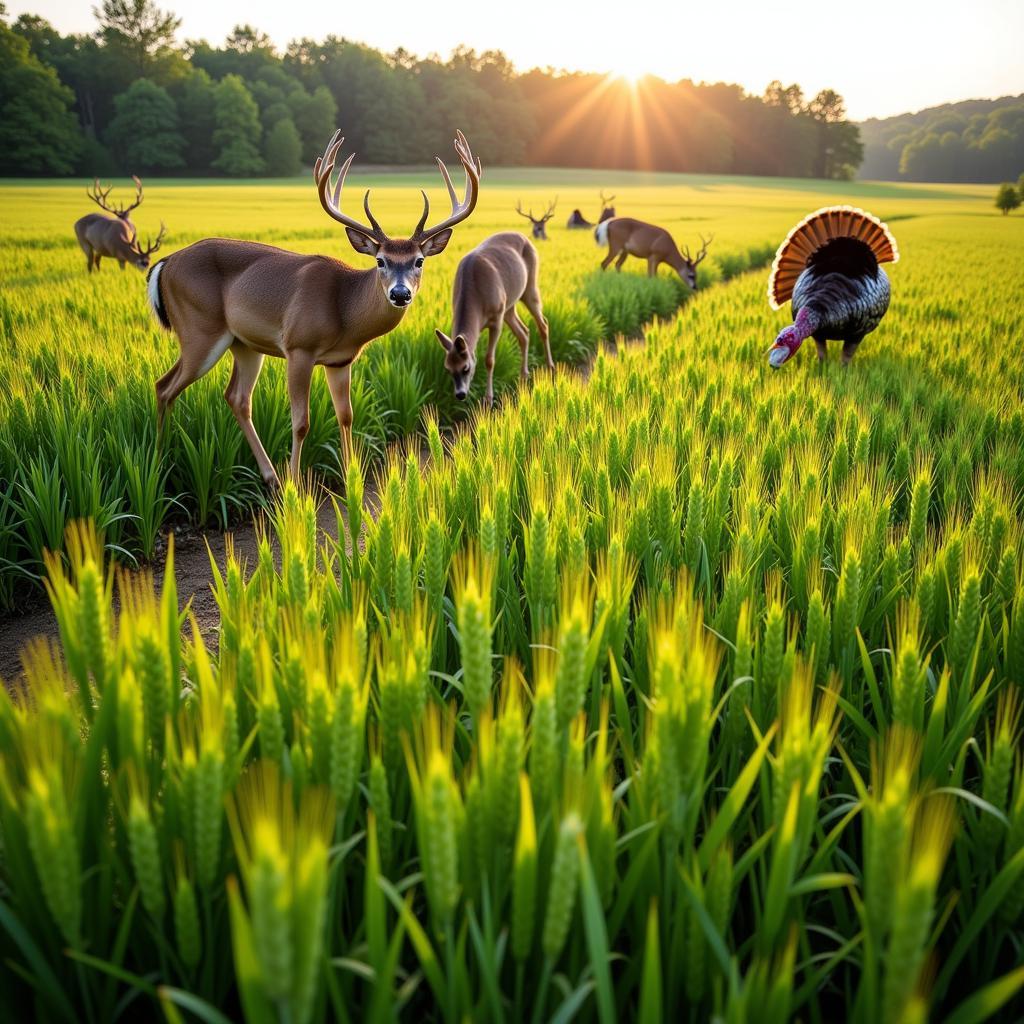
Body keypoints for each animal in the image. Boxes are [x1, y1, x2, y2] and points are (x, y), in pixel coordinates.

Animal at [149, 126, 483, 487]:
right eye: (380, 260)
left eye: (419, 261)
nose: (400, 293)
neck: (344, 312)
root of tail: (166, 263)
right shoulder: (299, 346)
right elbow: (301, 422)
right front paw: (296, 483)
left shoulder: (340, 361)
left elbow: (346, 415)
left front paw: (349, 475)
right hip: (199, 328)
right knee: (164, 386)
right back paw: (159, 463)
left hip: (243, 343)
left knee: (236, 398)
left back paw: (270, 476)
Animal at [436, 232, 557, 407]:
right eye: (448, 369)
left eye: (466, 368)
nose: (460, 394)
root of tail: (524, 237)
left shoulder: (497, 318)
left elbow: (489, 359)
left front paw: (489, 398)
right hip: (509, 305)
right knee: (524, 332)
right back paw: (524, 375)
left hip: (529, 288)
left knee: (543, 324)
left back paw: (550, 367)